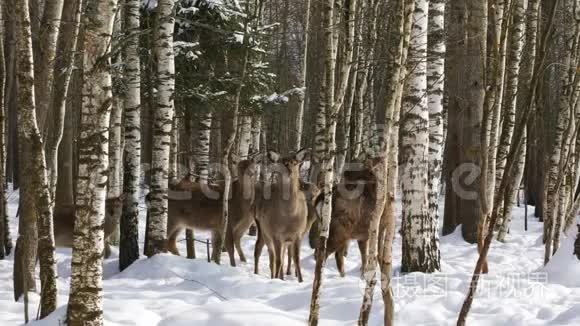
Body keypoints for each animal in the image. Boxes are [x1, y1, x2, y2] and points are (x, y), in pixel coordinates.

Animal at [253, 149, 310, 282]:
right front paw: (277, 280)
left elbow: (296, 260)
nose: (290, 170)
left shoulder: (298, 234)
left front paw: (300, 281)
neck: (290, 216)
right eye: (283, 162)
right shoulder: (276, 234)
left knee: (278, 257)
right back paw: (258, 274)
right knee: (264, 252)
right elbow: (278, 261)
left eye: (295, 162)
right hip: (263, 230)